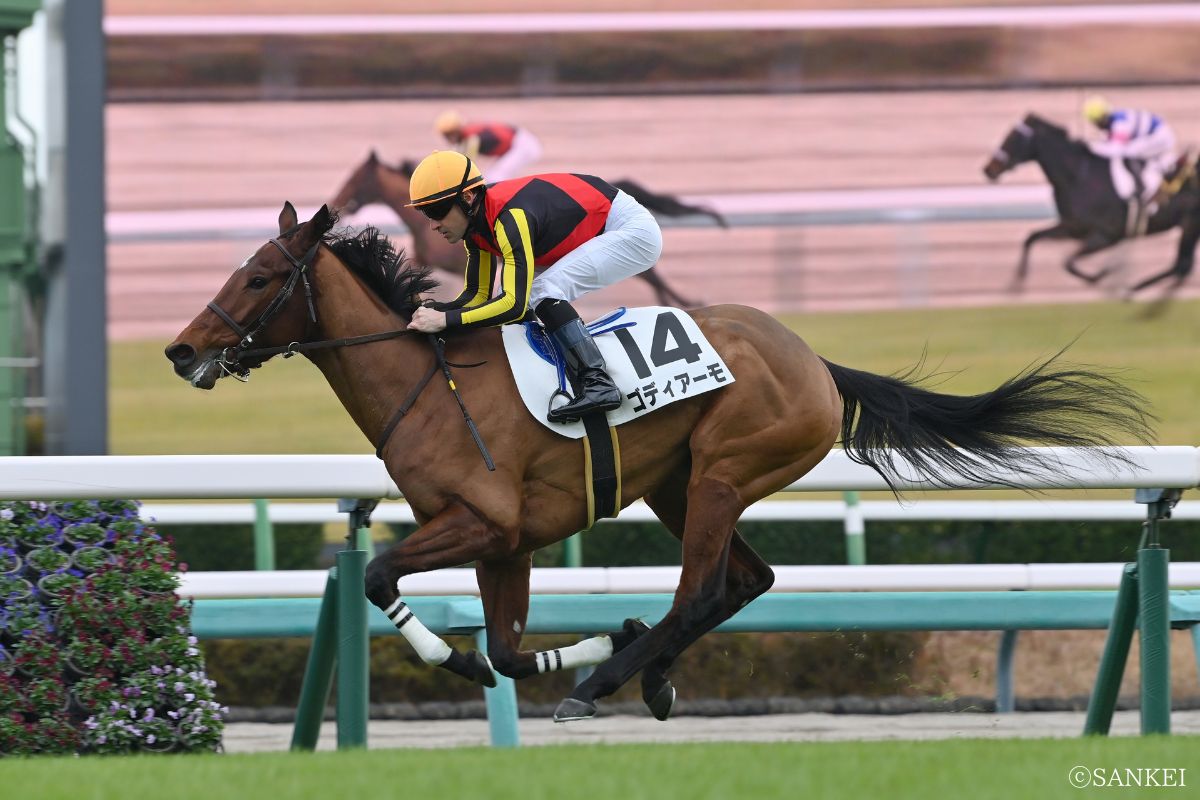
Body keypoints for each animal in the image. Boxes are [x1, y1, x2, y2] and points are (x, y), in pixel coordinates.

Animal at [165, 203, 1151, 723]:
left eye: (259, 277)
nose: (181, 351)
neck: (429, 385)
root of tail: (812, 360)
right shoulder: (508, 543)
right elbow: (510, 649)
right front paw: (584, 642)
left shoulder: (482, 521)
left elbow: (378, 577)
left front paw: (476, 661)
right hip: (683, 486)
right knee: (745, 582)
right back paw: (646, 669)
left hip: (721, 470)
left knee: (703, 589)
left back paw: (614, 678)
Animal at [329, 149, 725, 309]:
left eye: (355, 178)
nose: (337, 200)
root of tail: (618, 190)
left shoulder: (509, 227)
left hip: (623, 238)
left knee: (651, 274)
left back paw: (683, 303)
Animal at [982, 113, 1200, 295]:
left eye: (1012, 138)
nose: (988, 169)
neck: (1079, 176)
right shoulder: (1073, 229)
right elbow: (1032, 238)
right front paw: (1018, 279)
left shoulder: (1107, 236)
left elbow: (1068, 262)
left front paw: (1099, 276)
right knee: (1181, 266)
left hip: (1189, 226)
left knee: (1181, 265)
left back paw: (1130, 290)